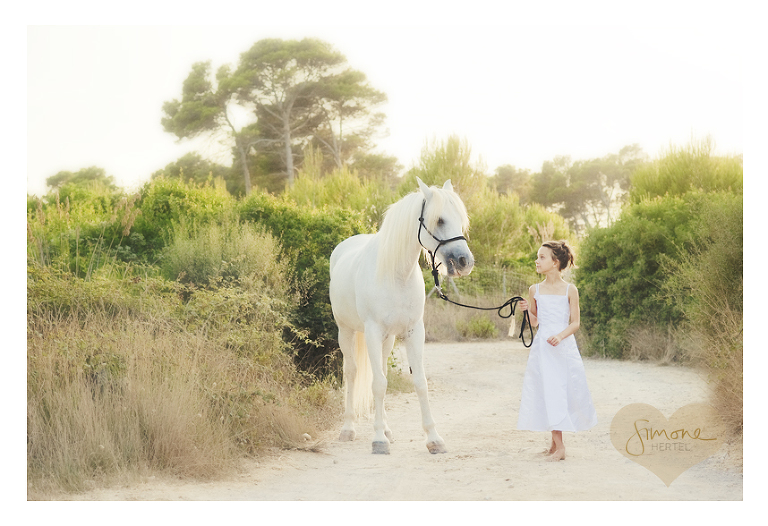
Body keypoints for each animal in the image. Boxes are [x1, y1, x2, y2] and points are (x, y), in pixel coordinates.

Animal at [330, 179, 474, 456]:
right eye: (439, 220)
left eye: (460, 219)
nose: (464, 261)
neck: (396, 274)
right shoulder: (372, 332)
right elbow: (377, 384)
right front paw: (378, 441)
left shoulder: (414, 332)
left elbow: (419, 382)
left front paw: (434, 439)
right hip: (347, 331)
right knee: (352, 372)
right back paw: (348, 429)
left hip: (387, 340)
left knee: (382, 370)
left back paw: (386, 429)